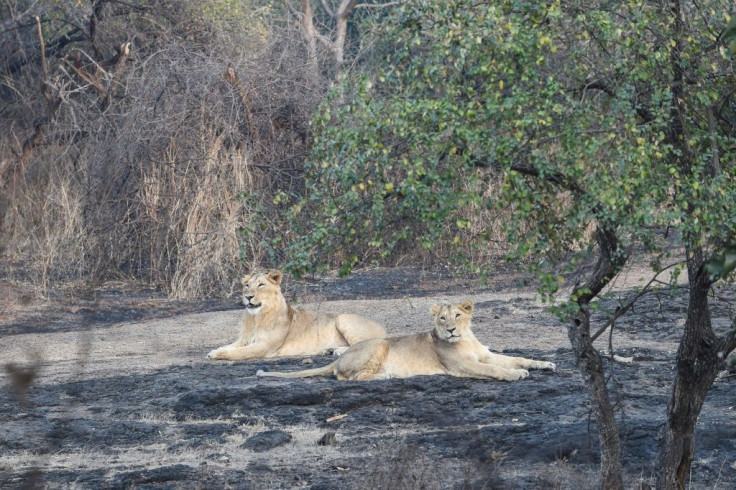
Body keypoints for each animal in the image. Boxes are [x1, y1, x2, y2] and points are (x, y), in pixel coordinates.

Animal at [206, 270, 386, 362]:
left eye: (261, 285)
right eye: (246, 285)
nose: (248, 297)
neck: (256, 318)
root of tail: (383, 329)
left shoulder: (264, 346)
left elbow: (237, 352)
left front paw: (217, 355)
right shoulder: (244, 339)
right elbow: (230, 346)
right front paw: (215, 350)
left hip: (343, 318)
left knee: (363, 344)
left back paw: (339, 351)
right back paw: (329, 350)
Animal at [256, 298, 556, 382]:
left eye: (458, 315)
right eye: (442, 319)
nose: (450, 330)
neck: (466, 338)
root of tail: (342, 357)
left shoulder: (486, 354)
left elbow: (516, 357)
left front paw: (544, 364)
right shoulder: (461, 366)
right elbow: (493, 369)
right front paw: (515, 375)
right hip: (380, 344)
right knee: (350, 378)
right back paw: (386, 376)